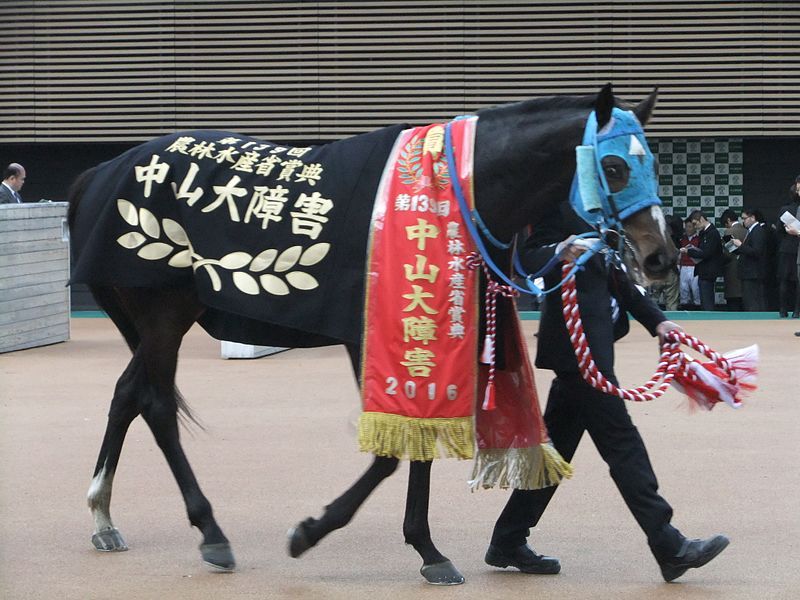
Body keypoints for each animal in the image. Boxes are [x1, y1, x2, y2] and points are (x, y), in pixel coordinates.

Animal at [67, 82, 676, 584]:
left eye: (653, 161)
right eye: (615, 166)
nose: (661, 257)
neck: (452, 193)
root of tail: (99, 173)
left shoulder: (427, 332)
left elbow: (419, 438)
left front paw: (428, 550)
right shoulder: (373, 335)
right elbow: (390, 452)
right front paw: (311, 532)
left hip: (159, 319)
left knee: (128, 394)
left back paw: (103, 515)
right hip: (164, 311)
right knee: (156, 404)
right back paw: (210, 532)